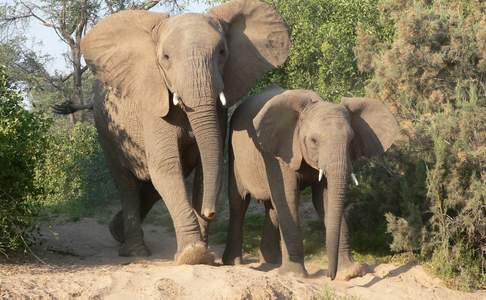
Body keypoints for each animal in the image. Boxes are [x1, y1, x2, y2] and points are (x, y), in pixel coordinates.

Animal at [73, 0, 288, 264]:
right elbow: (166, 166)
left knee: (152, 187)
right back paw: (135, 251)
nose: (210, 212)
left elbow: (204, 167)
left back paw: (117, 232)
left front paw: (204, 253)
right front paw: (193, 254)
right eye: (165, 57)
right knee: (128, 184)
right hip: (106, 130)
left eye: (222, 52)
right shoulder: (152, 104)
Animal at [224, 85, 398, 280]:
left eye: (351, 141)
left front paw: (350, 273)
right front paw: (294, 275)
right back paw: (234, 263)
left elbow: (326, 199)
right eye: (314, 140)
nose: (330, 275)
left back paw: (272, 263)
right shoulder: (280, 153)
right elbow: (289, 197)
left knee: (272, 207)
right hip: (234, 155)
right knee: (239, 202)